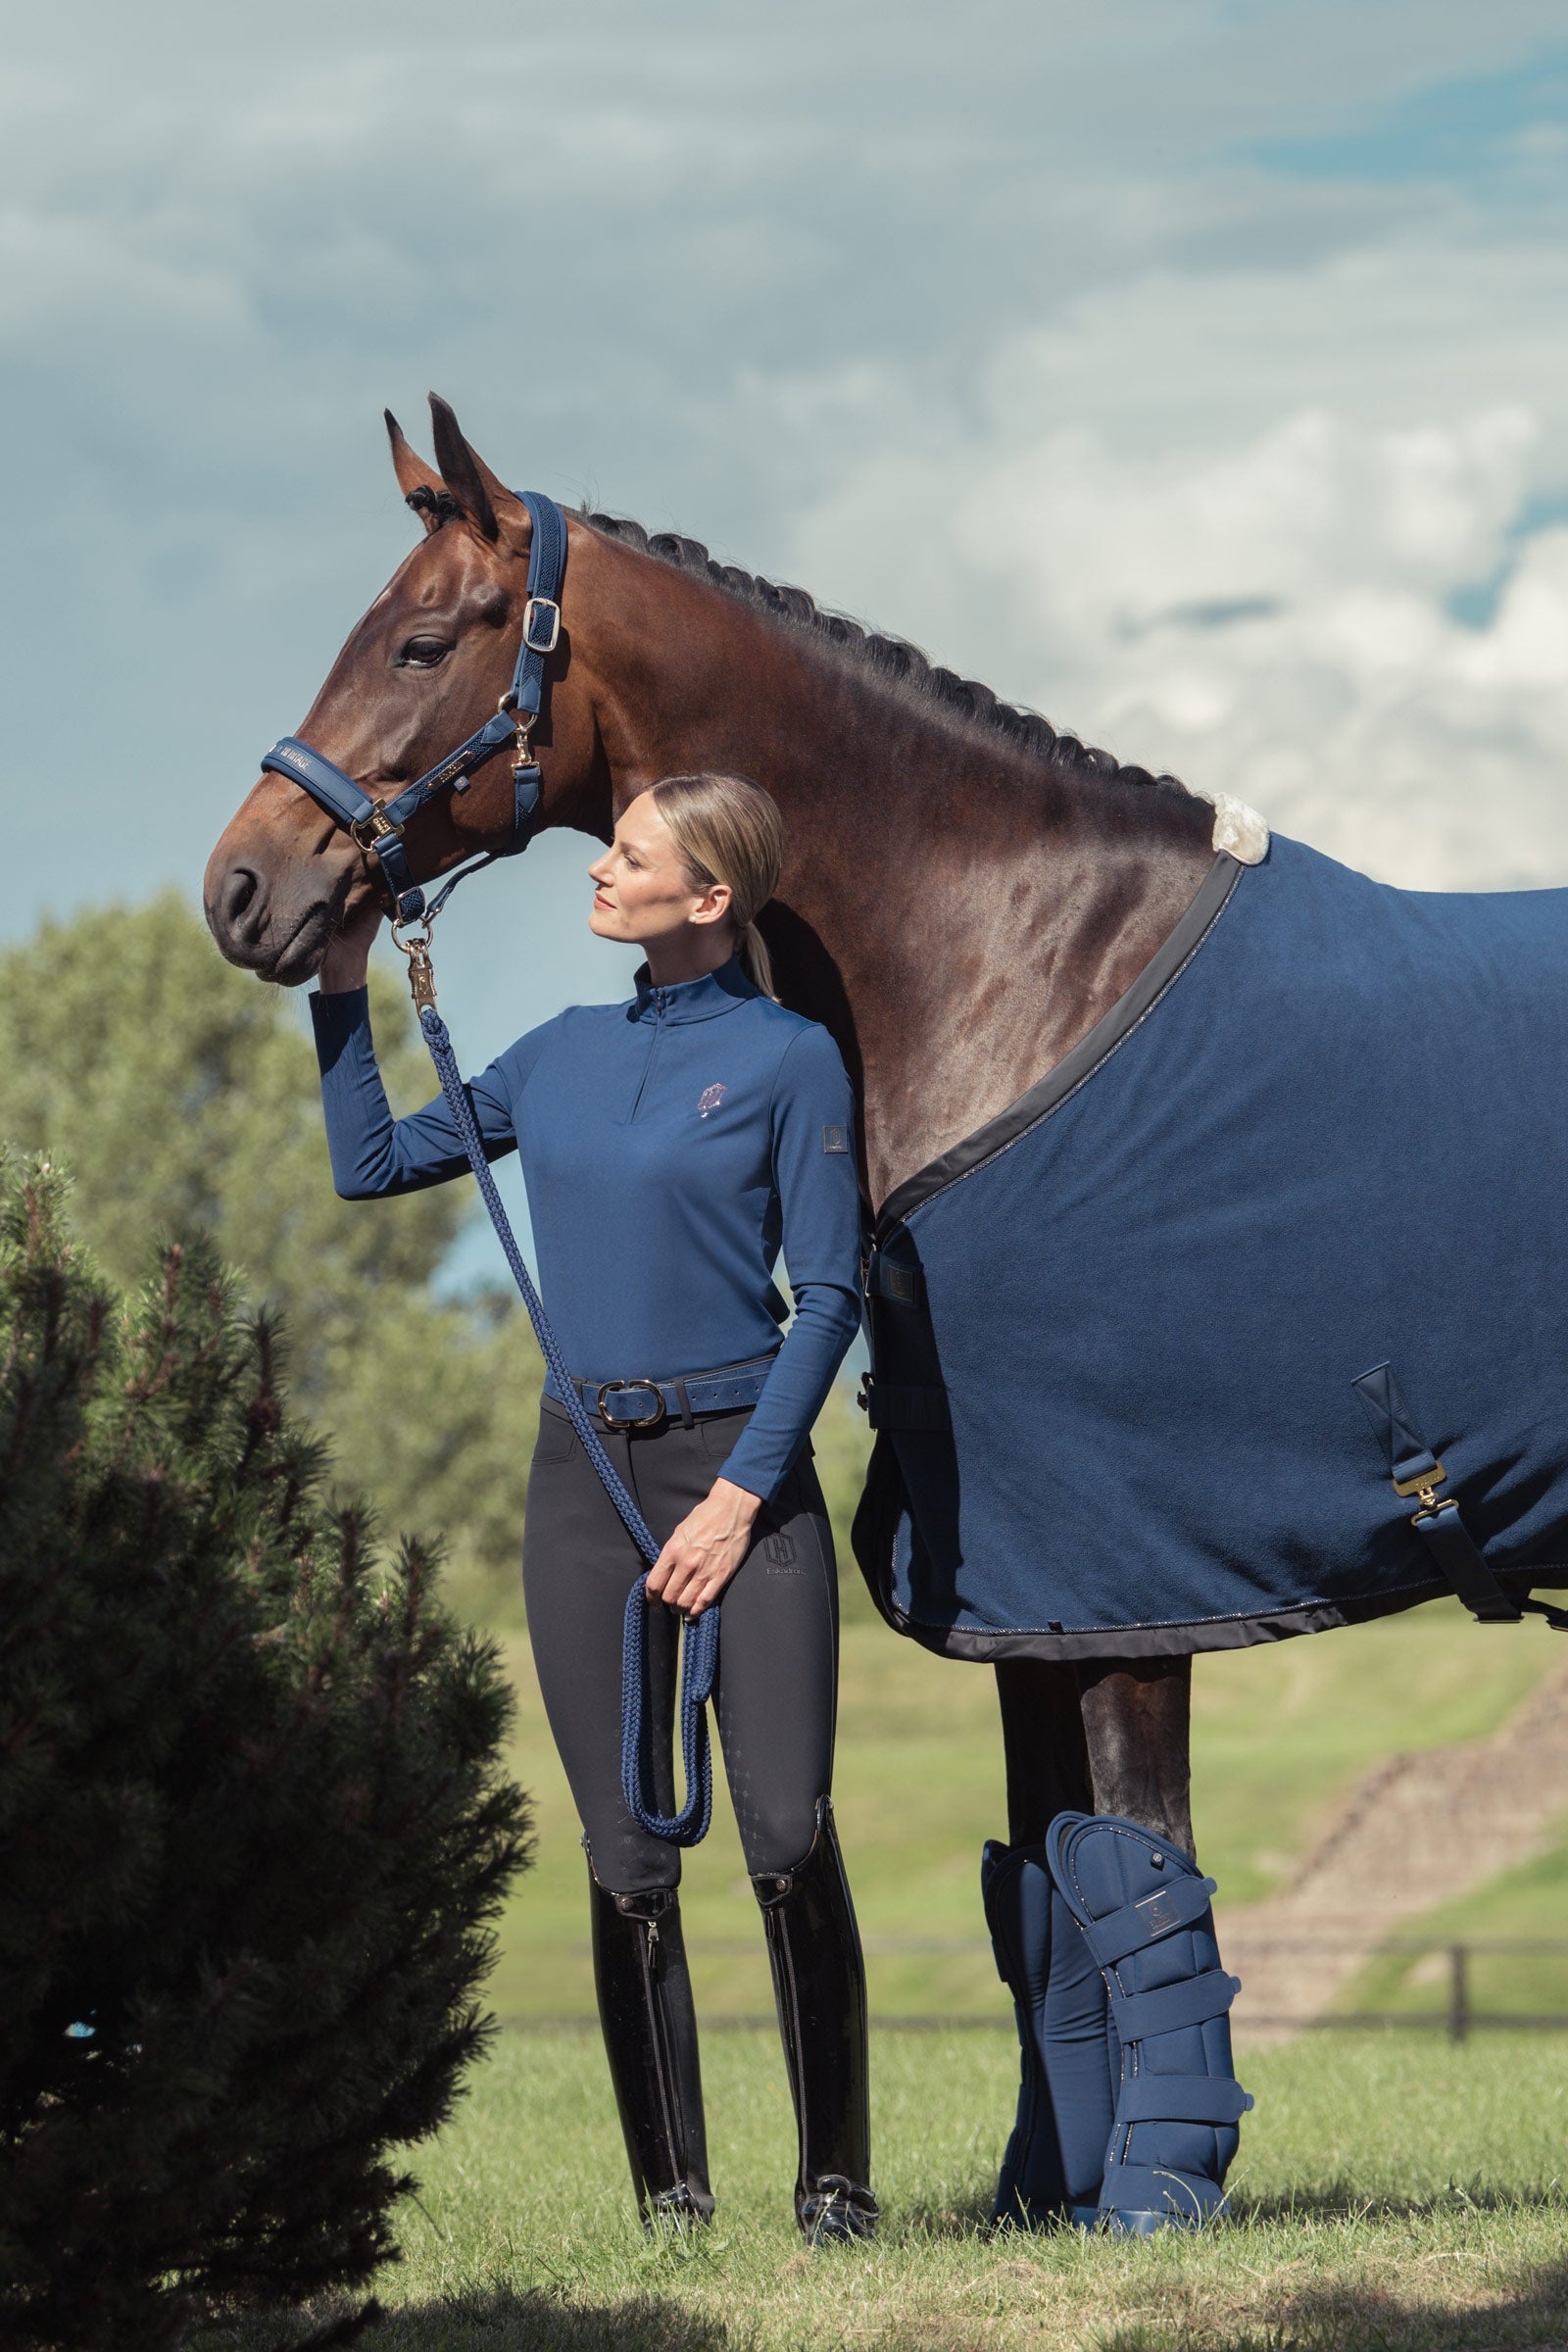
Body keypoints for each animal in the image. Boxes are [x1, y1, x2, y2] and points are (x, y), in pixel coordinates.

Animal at [205, 396, 1568, 2230]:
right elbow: (1046, 1880)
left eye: (424, 640)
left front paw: (1154, 2197)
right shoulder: (1022, 1594)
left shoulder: (1126, 1574)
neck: (1027, 972)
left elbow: (1142, 1862)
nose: (246, 890)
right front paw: (1045, 2192)